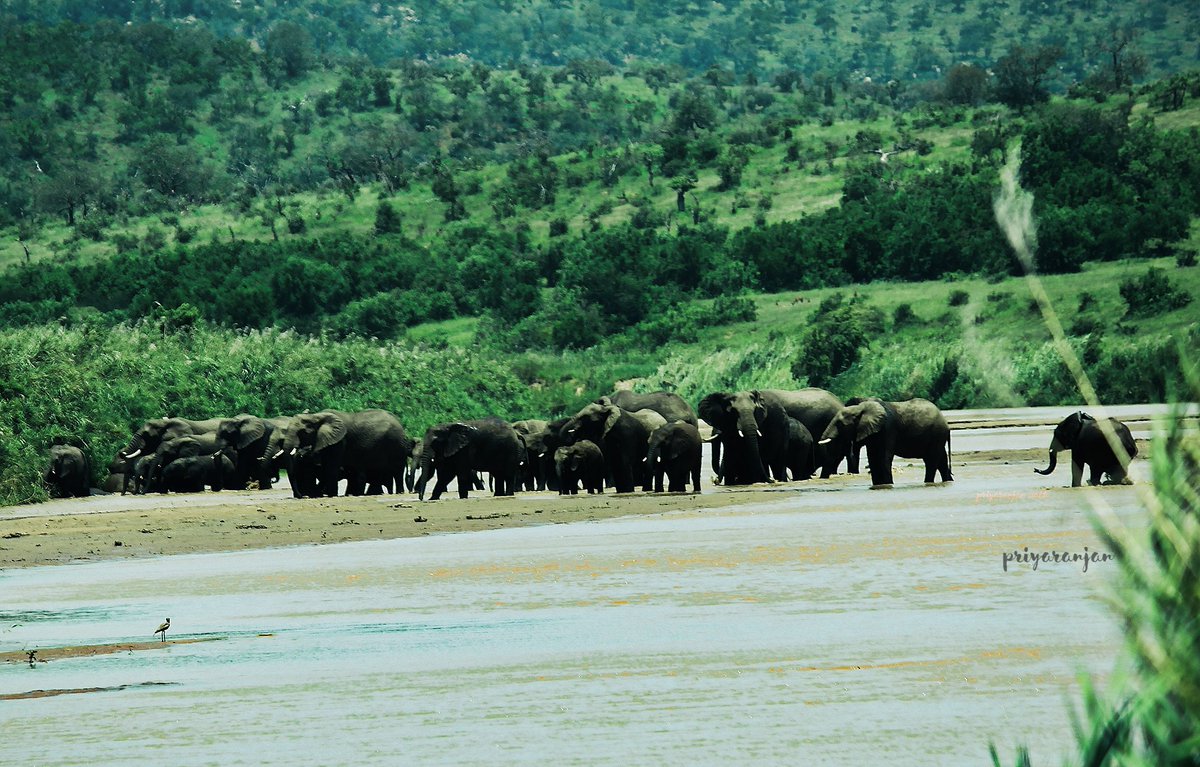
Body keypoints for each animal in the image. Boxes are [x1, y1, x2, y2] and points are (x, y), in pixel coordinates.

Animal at [279, 408, 412, 499]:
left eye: (303, 432)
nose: (300, 496)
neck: (316, 416)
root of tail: (400, 423)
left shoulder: (339, 442)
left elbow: (331, 468)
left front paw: (332, 495)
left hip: (397, 445)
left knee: (398, 471)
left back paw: (399, 492)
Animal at [820, 398, 950, 489]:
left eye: (840, 424)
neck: (860, 408)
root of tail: (946, 423)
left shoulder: (887, 428)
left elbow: (883, 458)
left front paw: (887, 485)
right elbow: (873, 458)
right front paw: (879, 485)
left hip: (936, 434)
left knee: (931, 461)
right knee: (941, 460)